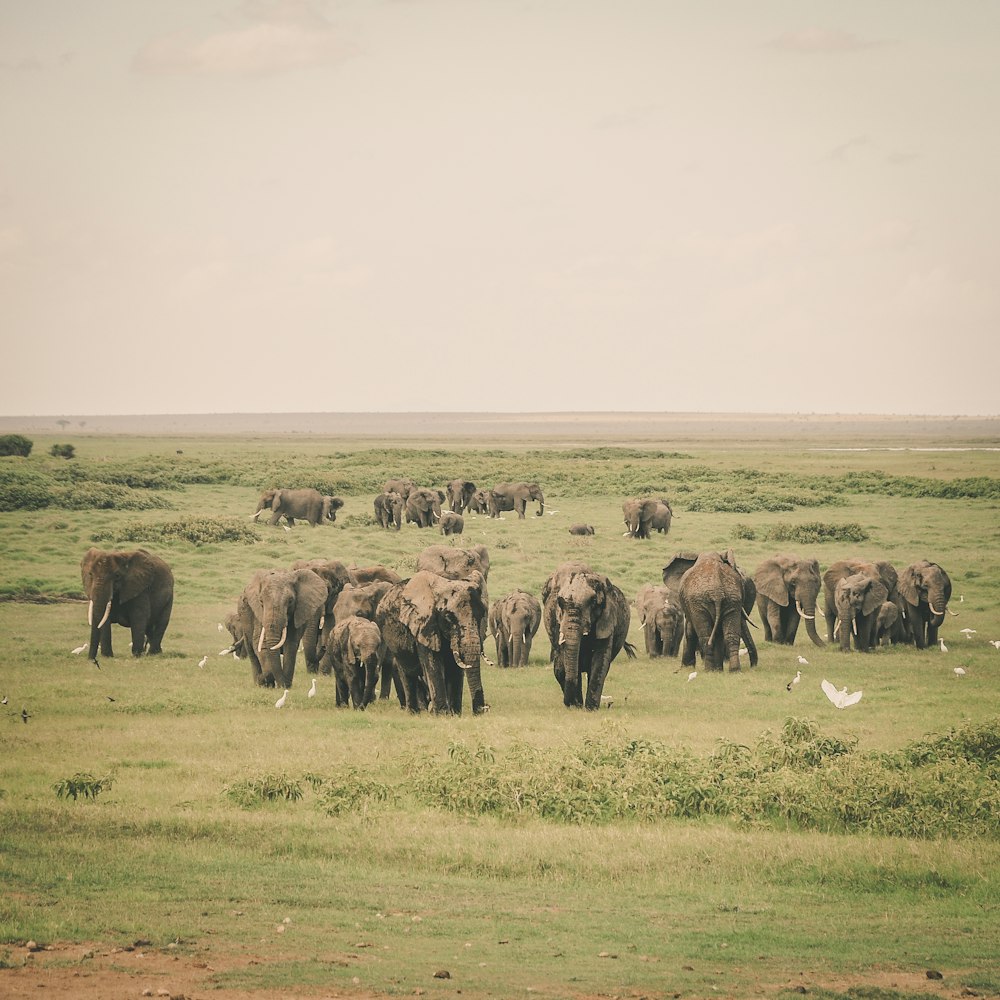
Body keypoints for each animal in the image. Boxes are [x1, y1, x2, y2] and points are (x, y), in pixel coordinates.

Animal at [376, 572, 488, 712]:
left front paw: (455, 714)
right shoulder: (424, 626)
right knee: (407, 673)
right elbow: (433, 664)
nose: (483, 709)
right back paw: (415, 712)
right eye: (448, 617)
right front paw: (442, 714)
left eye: (482, 614)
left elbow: (455, 668)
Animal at [544, 564, 636, 712]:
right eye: (560, 603)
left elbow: (600, 660)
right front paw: (576, 706)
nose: (569, 704)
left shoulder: (607, 620)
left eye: (593, 602)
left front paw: (591, 709)